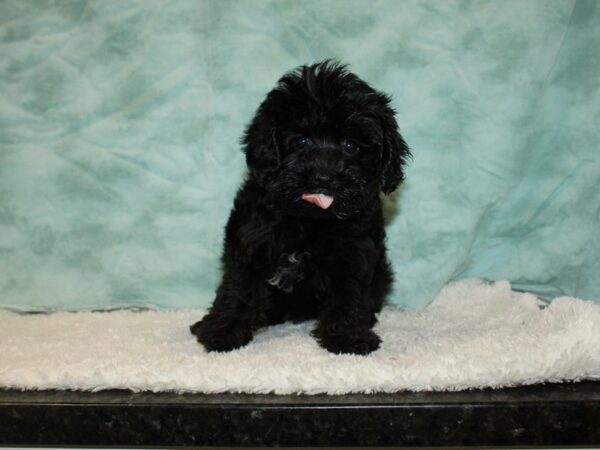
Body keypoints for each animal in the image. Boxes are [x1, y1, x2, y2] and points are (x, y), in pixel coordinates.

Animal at [190, 60, 410, 356]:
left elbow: (349, 295)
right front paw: (224, 331)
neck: (309, 220)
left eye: (351, 146)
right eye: (301, 141)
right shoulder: (250, 242)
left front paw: (348, 336)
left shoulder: (354, 251)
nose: (323, 177)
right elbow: (239, 287)